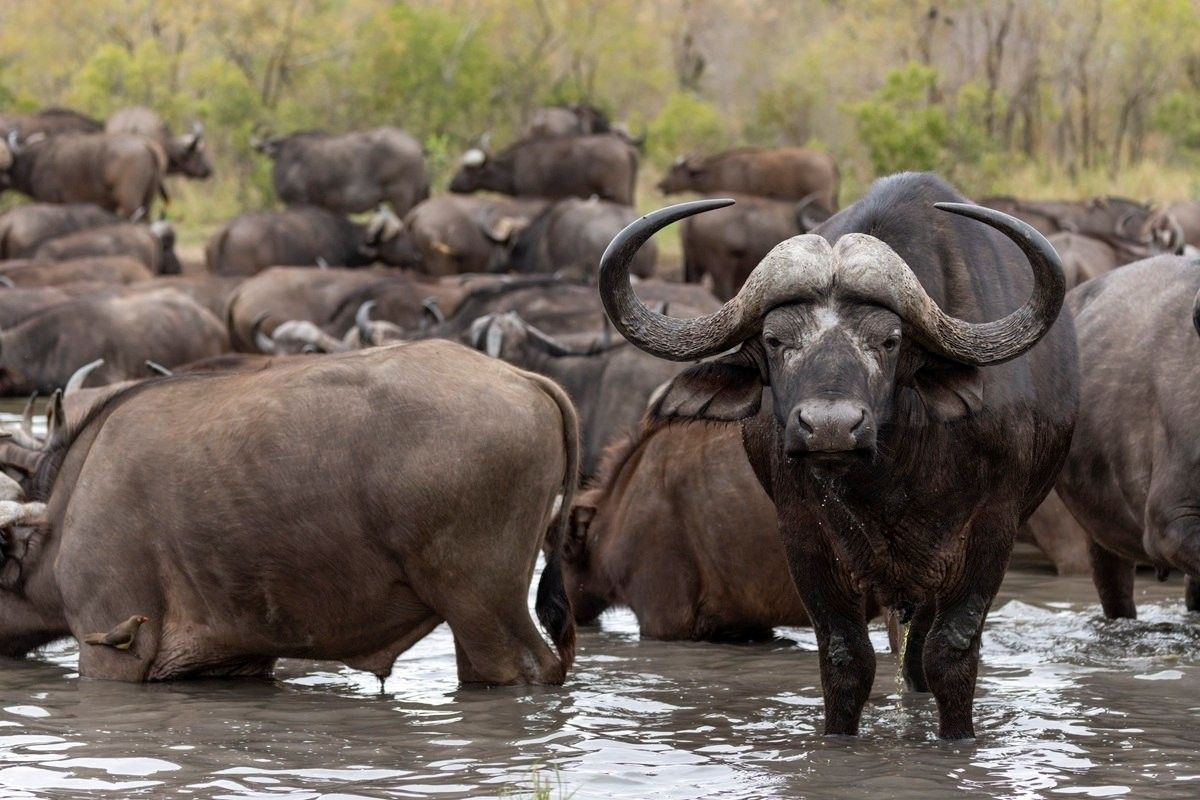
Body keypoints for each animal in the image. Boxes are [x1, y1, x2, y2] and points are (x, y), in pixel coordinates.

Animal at [449, 134, 638, 205]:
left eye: (466, 170)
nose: (450, 184)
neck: (514, 167)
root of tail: (627, 148)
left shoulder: (531, 196)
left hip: (619, 194)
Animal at [598, 172, 1076, 739]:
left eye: (890, 340)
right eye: (774, 339)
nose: (829, 427)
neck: (895, 474)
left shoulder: (993, 528)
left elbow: (951, 654)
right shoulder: (802, 530)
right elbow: (845, 657)